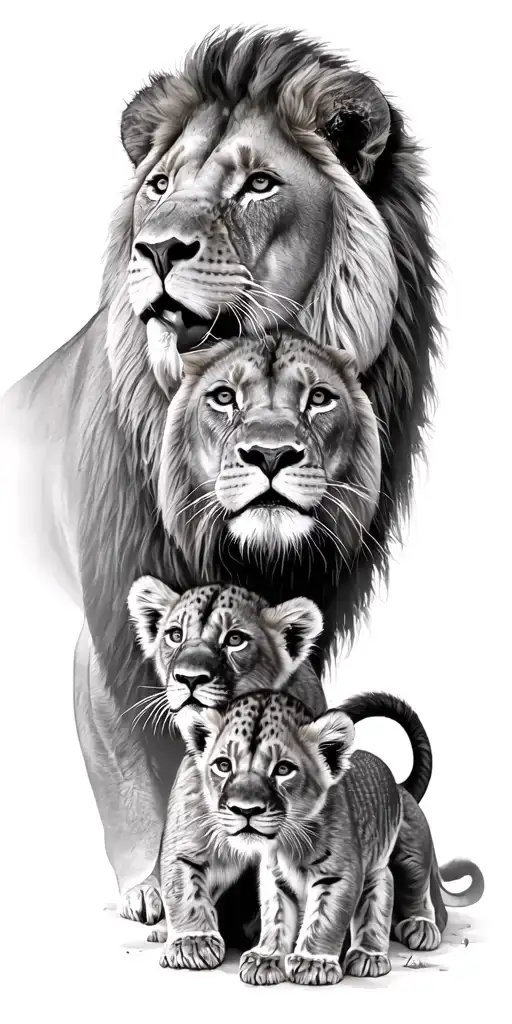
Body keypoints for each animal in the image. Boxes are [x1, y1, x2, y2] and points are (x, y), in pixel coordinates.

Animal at [1, 26, 440, 920]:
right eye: (159, 186)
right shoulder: (110, 618)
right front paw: (152, 885)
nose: (159, 248)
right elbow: (128, 758)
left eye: (259, 185)